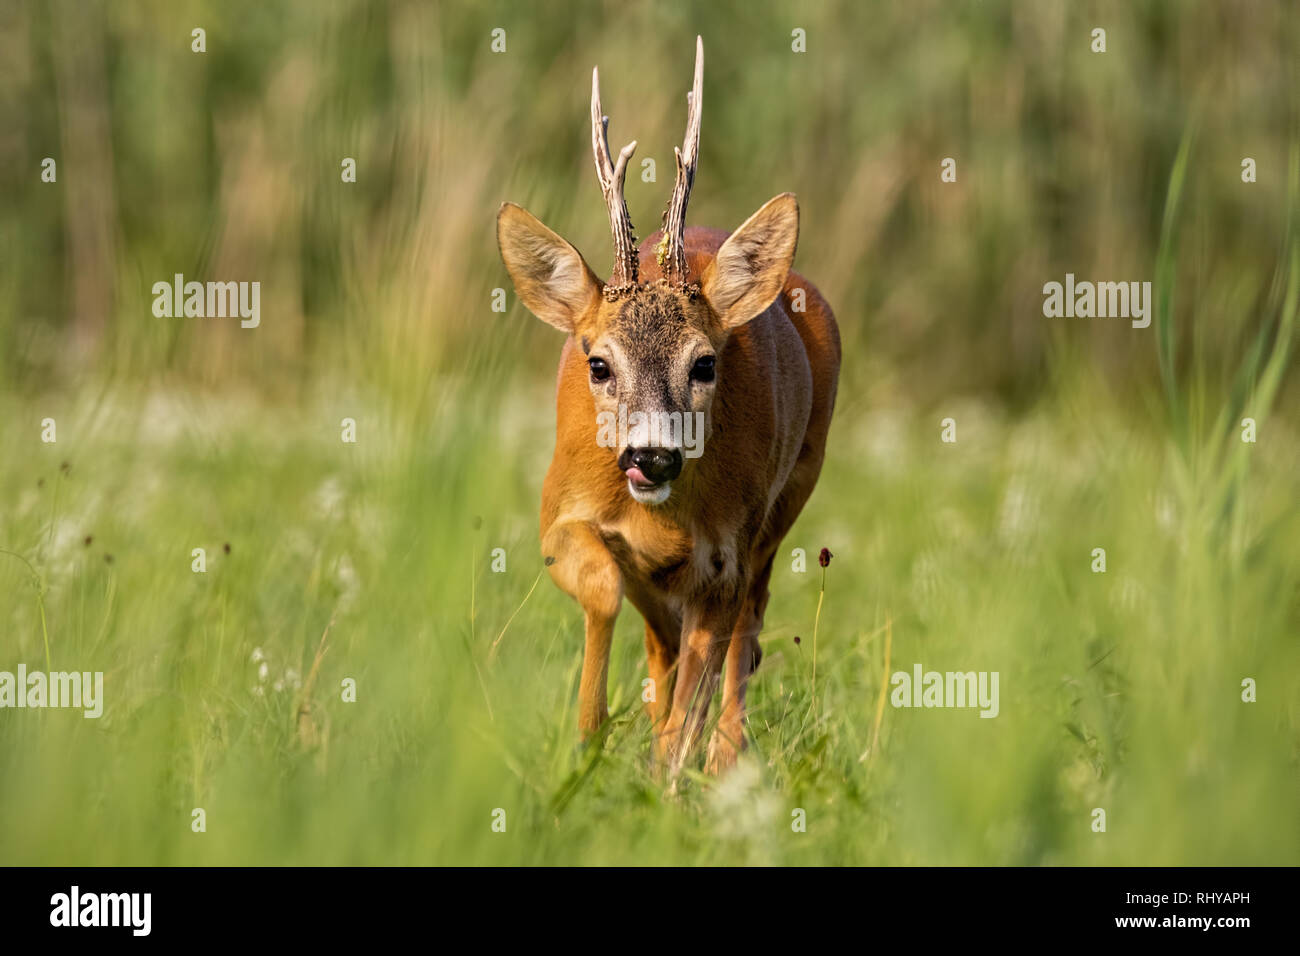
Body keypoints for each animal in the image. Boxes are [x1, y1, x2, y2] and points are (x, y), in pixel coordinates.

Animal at [496, 35, 842, 780]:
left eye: (704, 363)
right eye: (598, 364)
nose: (651, 455)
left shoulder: (724, 558)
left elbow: (704, 675)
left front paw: (671, 777)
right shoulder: (558, 516)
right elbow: (606, 590)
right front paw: (590, 741)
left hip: (785, 504)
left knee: (746, 633)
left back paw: (723, 763)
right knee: (667, 643)